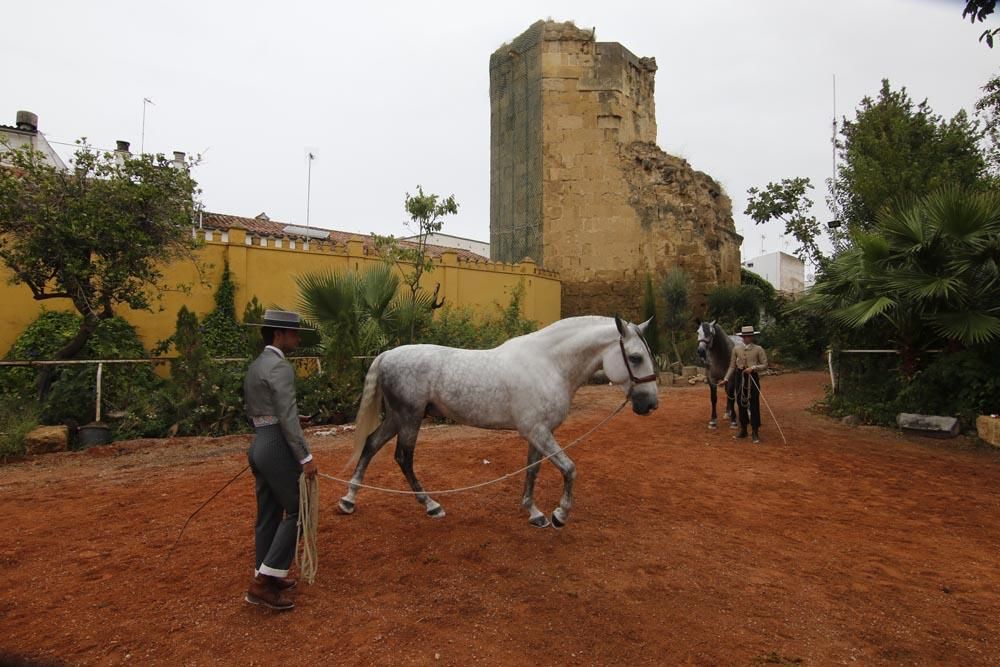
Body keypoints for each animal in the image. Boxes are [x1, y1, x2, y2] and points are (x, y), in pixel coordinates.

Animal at [340, 316, 660, 528]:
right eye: (635, 357)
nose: (650, 404)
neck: (548, 364)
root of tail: (387, 354)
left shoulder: (539, 432)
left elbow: (533, 470)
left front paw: (534, 513)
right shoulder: (537, 431)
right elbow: (569, 469)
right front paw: (559, 515)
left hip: (398, 417)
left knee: (370, 445)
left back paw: (349, 500)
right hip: (409, 417)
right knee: (403, 458)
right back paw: (431, 506)